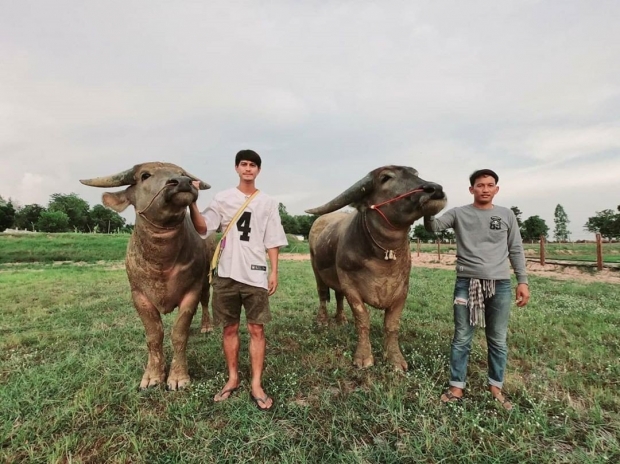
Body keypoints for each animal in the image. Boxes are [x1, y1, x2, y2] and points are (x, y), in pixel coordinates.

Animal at [81, 161, 214, 390]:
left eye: (182, 173)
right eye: (145, 175)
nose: (184, 182)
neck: (162, 261)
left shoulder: (192, 291)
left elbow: (179, 333)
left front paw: (178, 377)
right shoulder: (138, 296)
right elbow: (154, 335)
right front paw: (153, 376)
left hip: (206, 279)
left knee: (206, 300)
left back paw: (207, 326)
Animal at [306, 165, 446, 372]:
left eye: (416, 174)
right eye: (386, 178)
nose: (435, 189)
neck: (383, 259)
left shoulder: (402, 289)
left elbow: (392, 324)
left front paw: (395, 359)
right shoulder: (350, 286)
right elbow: (363, 319)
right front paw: (363, 357)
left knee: (338, 296)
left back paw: (341, 319)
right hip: (316, 270)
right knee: (323, 294)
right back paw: (322, 321)